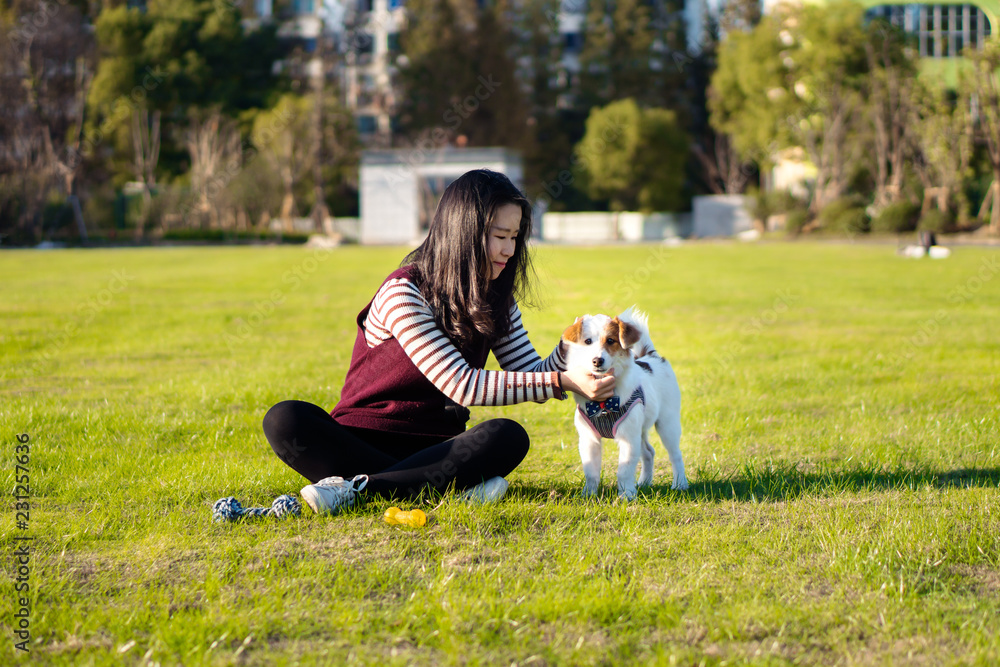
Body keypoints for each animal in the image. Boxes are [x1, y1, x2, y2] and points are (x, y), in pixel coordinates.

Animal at [564, 306, 688, 498]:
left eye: (610, 340)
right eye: (587, 341)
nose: (597, 360)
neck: (604, 403)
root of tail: (651, 356)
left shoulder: (628, 438)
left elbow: (625, 469)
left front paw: (626, 495)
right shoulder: (589, 439)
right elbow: (591, 471)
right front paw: (589, 495)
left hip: (667, 423)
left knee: (675, 454)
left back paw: (680, 483)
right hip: (640, 429)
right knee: (648, 452)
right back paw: (644, 482)